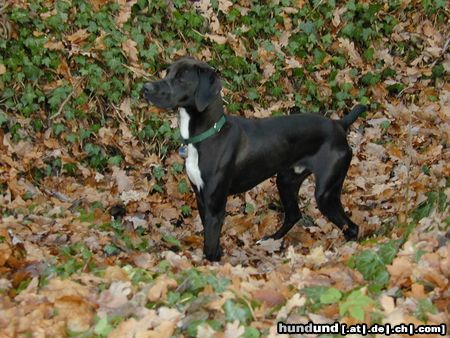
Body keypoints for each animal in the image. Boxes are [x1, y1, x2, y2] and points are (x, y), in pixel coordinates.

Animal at [142, 56, 368, 262]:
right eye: (167, 72)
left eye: (181, 78)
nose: (145, 87)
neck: (209, 134)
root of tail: (339, 124)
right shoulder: (200, 197)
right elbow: (211, 240)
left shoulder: (215, 204)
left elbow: (210, 246)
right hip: (286, 181)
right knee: (294, 215)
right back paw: (272, 240)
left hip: (326, 193)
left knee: (352, 227)